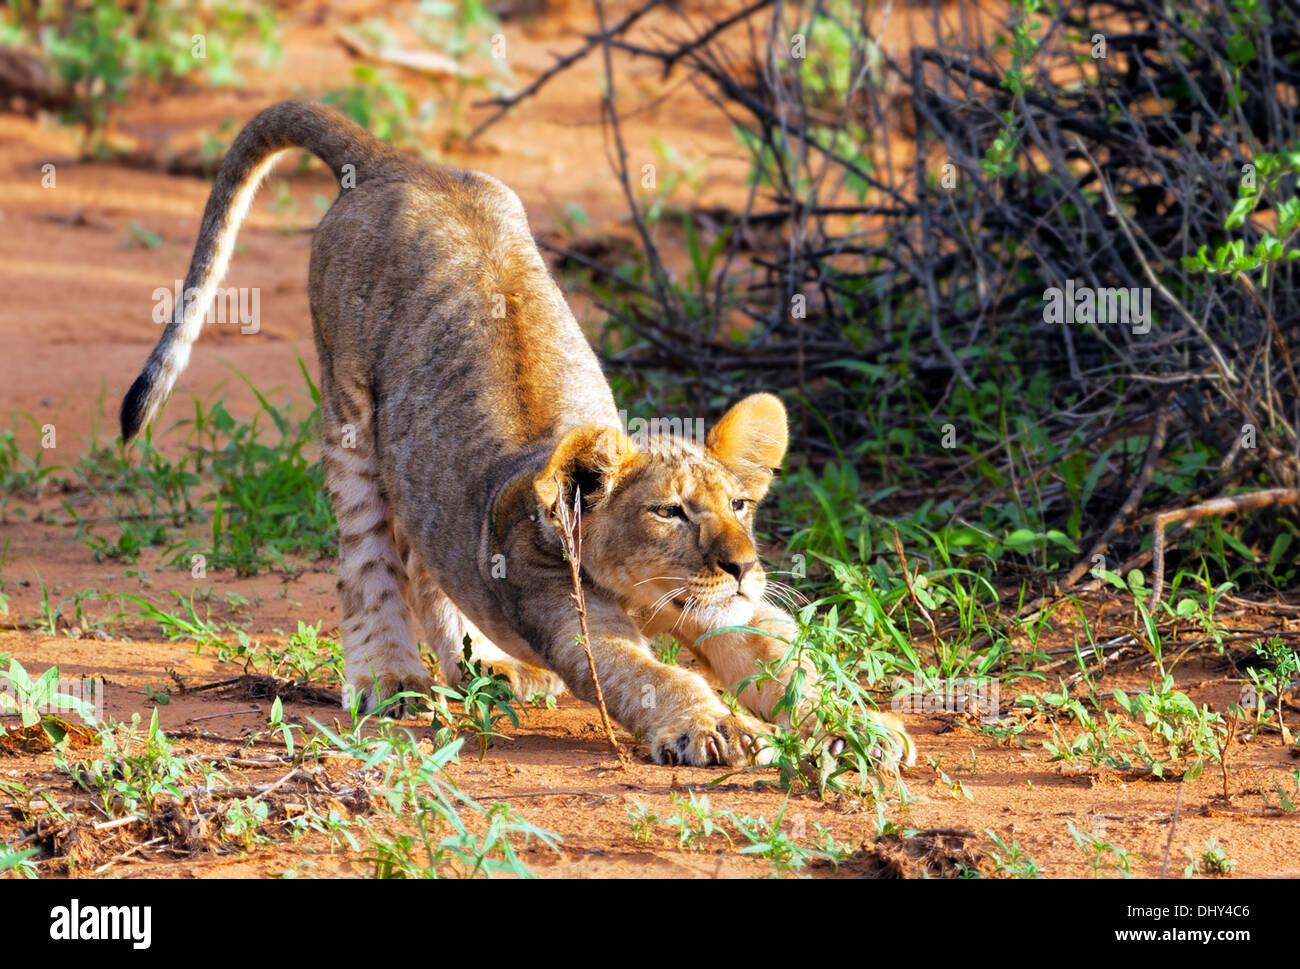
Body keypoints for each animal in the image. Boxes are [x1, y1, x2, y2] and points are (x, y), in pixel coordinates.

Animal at [118, 100, 914, 769]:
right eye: (669, 512)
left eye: (740, 506)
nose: (743, 565)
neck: (650, 597)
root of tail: (395, 160)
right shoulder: (574, 625)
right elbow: (655, 677)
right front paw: (715, 726)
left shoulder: (732, 613)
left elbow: (793, 666)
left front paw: (861, 729)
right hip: (348, 414)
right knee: (370, 554)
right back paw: (391, 676)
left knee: (423, 550)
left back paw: (488, 668)